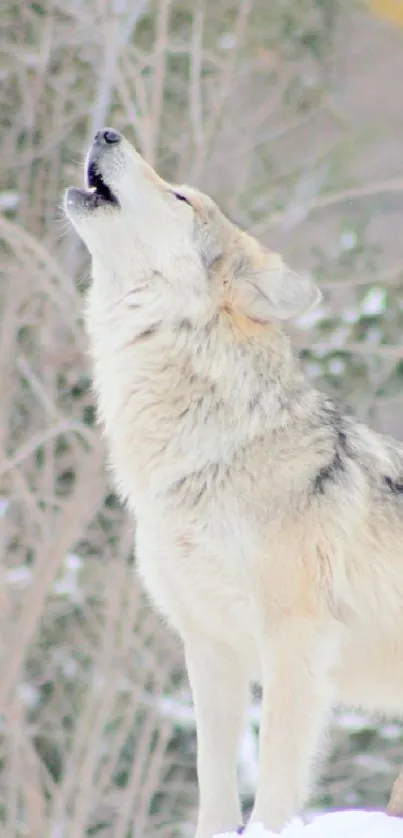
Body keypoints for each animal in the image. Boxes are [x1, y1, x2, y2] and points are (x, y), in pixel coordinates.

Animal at [64, 126, 403, 838]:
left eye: (181, 197)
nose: (107, 131)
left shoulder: (295, 642)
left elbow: (273, 784)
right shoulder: (209, 646)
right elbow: (214, 785)